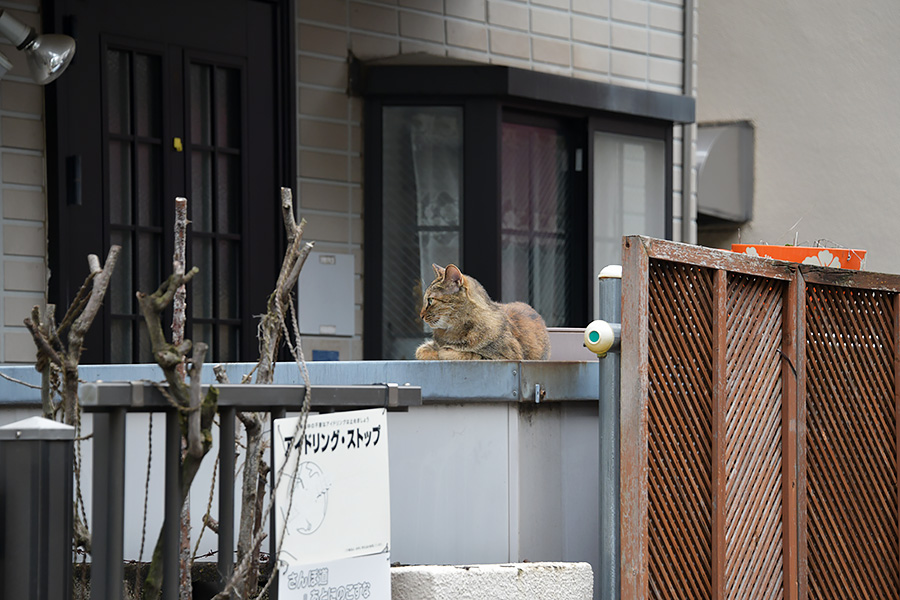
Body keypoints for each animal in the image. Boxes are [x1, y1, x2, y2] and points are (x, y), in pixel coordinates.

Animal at [414, 264, 548, 360]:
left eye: (430, 300)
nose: (421, 315)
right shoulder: (427, 346)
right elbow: (421, 350)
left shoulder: (506, 357)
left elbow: (464, 354)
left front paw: (443, 352)